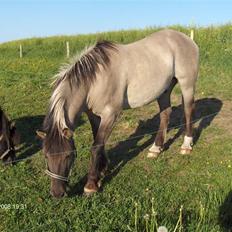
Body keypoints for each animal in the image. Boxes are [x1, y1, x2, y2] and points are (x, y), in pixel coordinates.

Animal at [36, 29, 199, 198]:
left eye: (69, 155)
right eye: (46, 155)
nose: (57, 193)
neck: (94, 81)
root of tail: (185, 38)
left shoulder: (110, 115)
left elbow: (96, 146)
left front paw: (91, 185)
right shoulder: (94, 116)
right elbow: (98, 141)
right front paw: (102, 170)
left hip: (187, 84)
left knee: (188, 111)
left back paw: (186, 146)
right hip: (164, 90)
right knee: (165, 114)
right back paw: (156, 148)